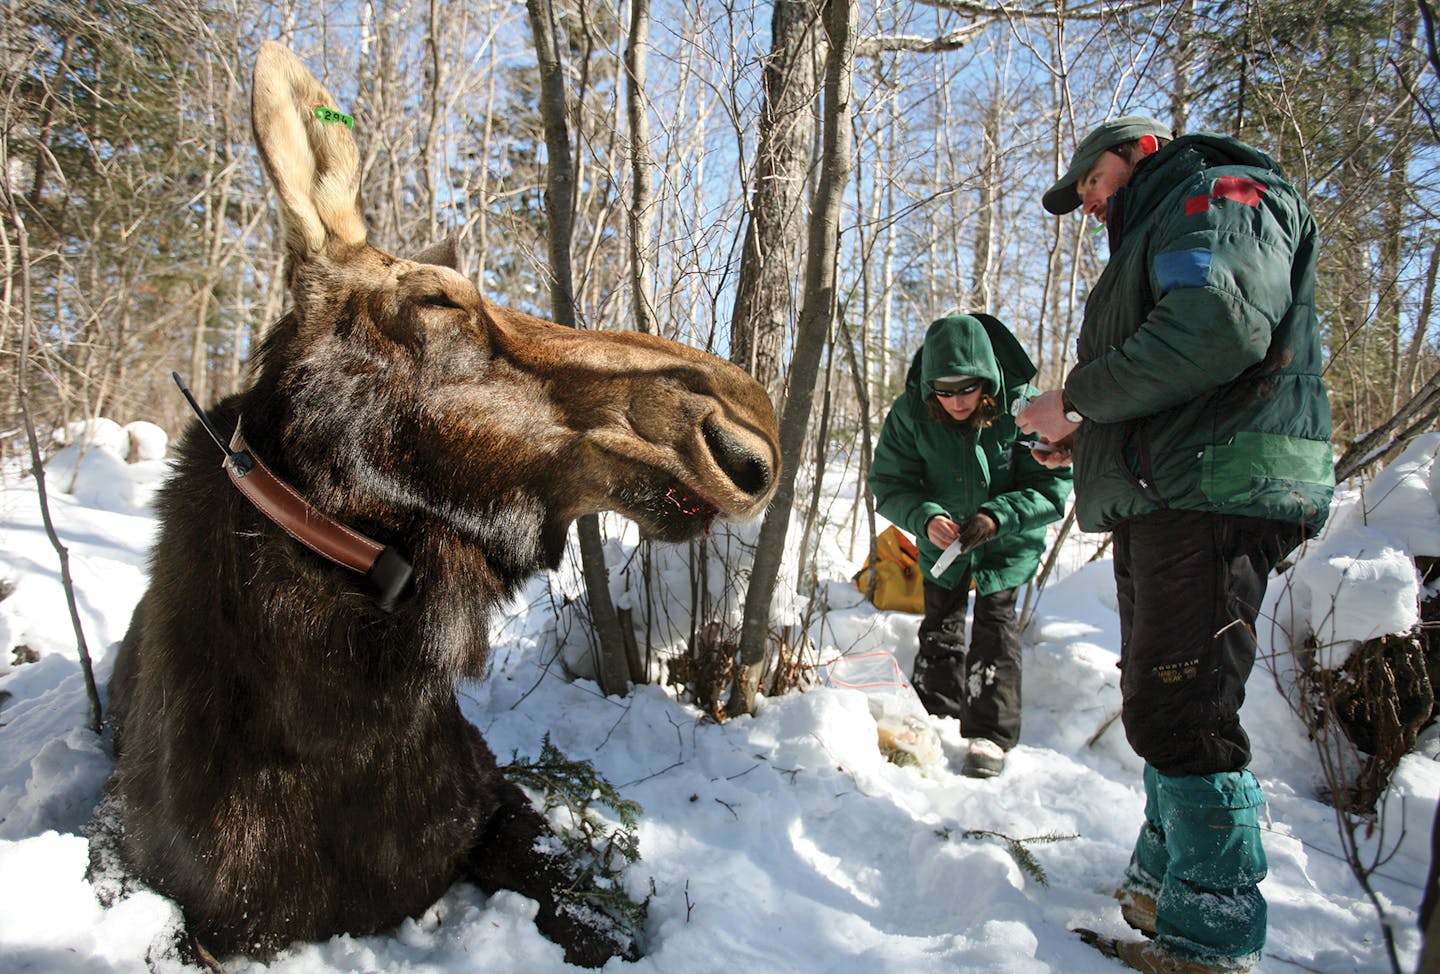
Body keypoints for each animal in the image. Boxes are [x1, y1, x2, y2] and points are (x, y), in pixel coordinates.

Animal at [106, 39, 783, 968]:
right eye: (437, 300)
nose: (744, 427)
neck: (341, 728)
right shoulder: (172, 897)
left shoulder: (493, 798)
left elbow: (593, 915)